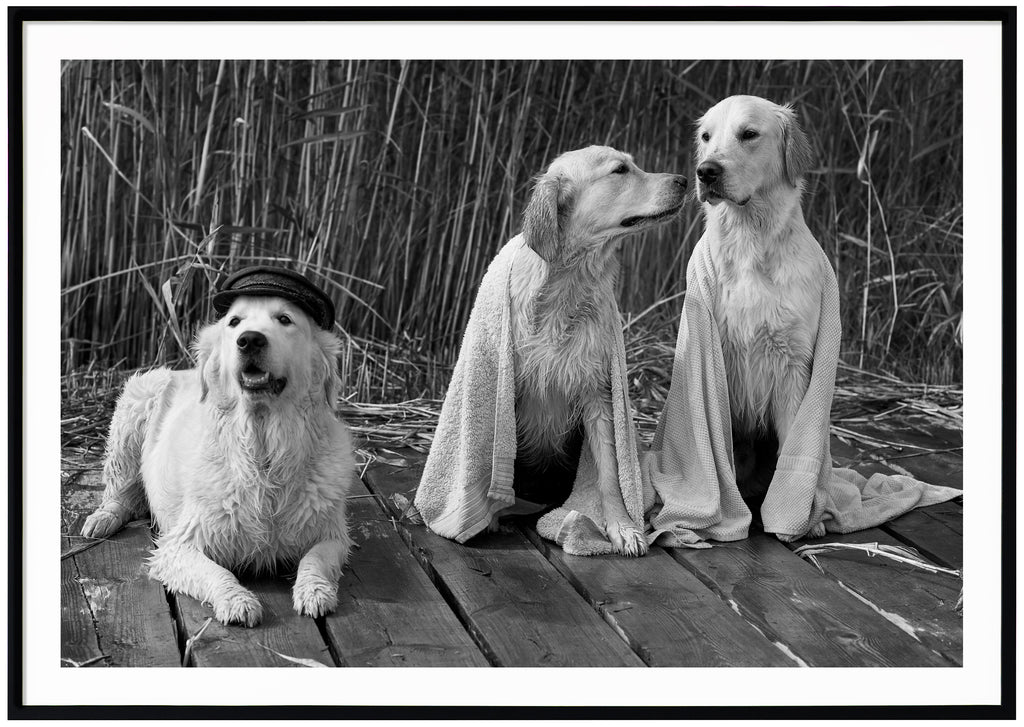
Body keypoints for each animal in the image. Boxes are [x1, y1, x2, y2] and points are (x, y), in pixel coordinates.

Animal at [79, 266, 354, 626]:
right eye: (234, 322)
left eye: (285, 319)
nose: (250, 339)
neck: (263, 452)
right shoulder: (178, 546)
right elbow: (217, 573)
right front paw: (237, 601)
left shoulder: (332, 534)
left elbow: (317, 558)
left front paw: (315, 590)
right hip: (136, 403)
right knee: (118, 491)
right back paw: (102, 518)